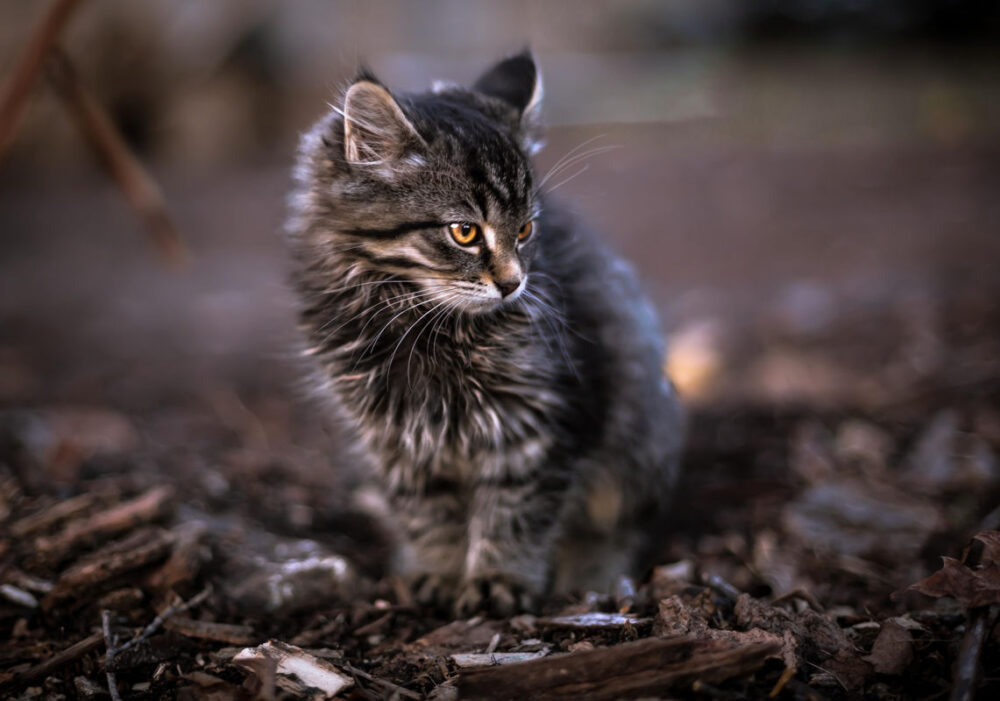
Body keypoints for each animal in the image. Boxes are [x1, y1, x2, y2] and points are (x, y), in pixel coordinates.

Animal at [286, 52, 684, 616]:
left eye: (525, 231)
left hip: (641, 443)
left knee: (617, 530)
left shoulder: (538, 423)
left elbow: (514, 513)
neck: (422, 325)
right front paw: (440, 573)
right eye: (465, 232)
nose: (514, 283)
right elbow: (429, 517)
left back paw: (592, 577)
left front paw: (499, 579)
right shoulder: (396, 441)